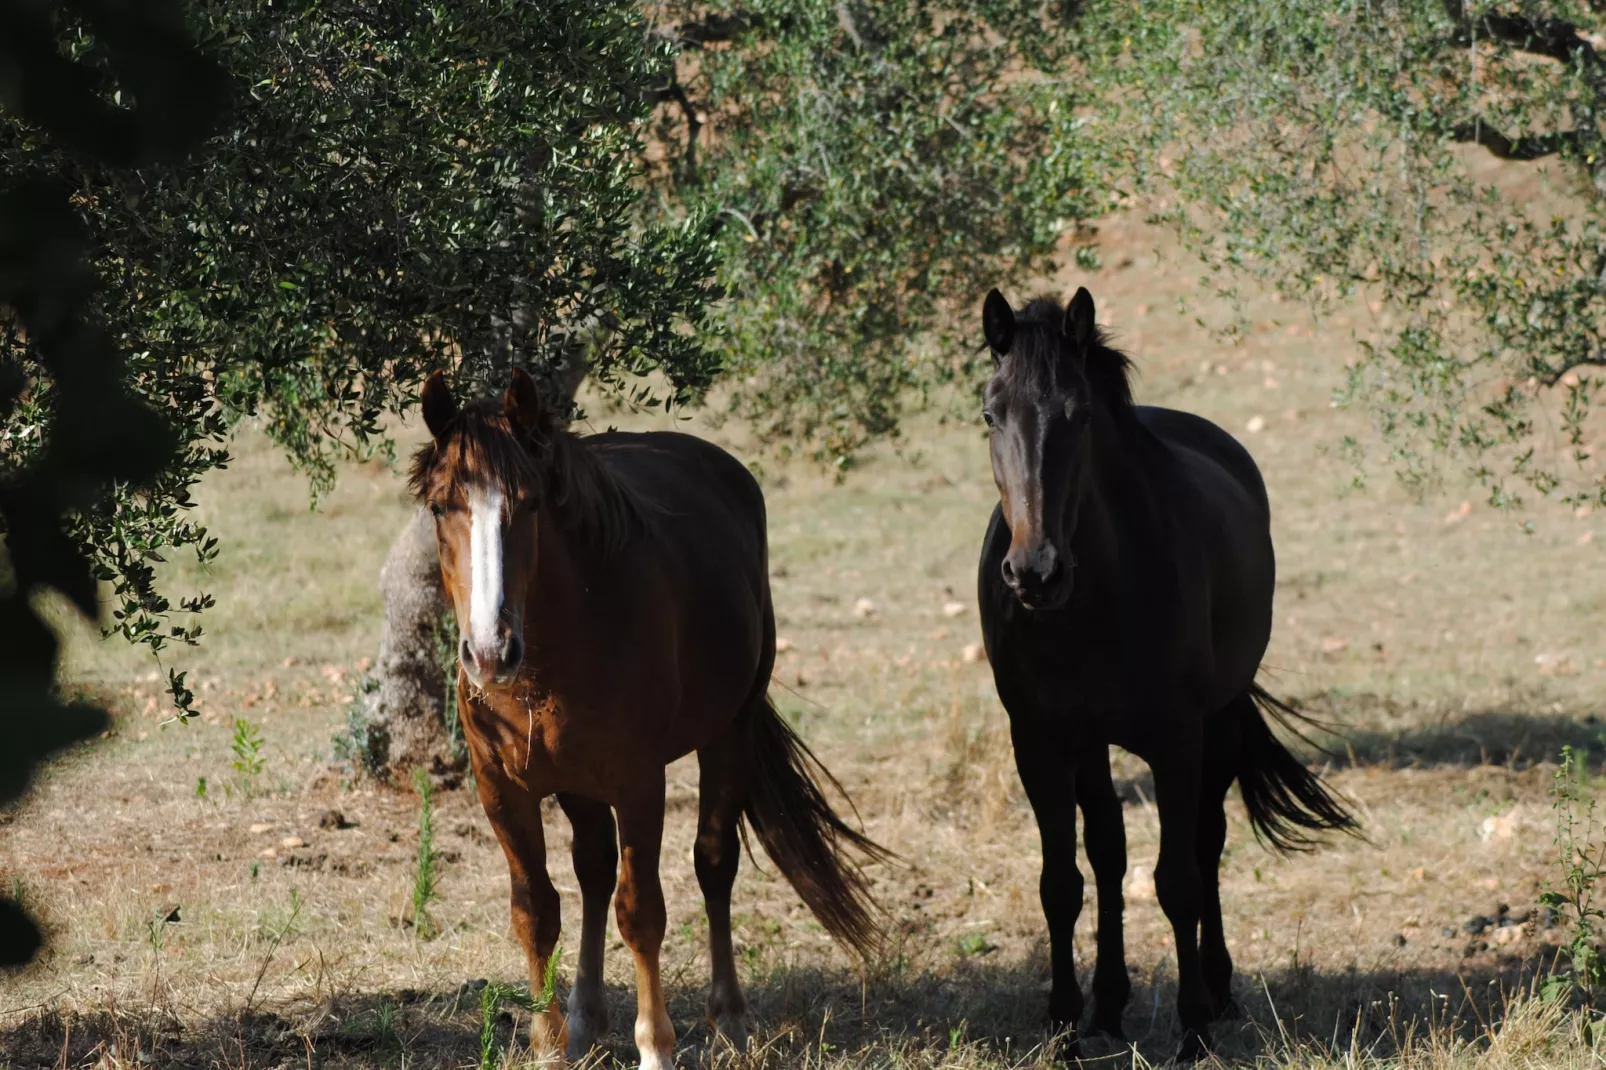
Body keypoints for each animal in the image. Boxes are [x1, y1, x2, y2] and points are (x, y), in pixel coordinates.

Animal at [414, 369, 886, 1066]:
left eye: (530, 504)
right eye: (441, 507)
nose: (491, 653)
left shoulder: (639, 782)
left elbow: (641, 911)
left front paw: (655, 1045)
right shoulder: (500, 787)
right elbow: (536, 910)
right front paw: (550, 1044)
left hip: (729, 732)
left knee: (713, 864)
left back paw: (729, 1016)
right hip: (578, 784)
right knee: (592, 869)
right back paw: (585, 1016)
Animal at [970, 285, 1361, 1060]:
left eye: (1079, 415)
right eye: (990, 414)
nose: (1034, 572)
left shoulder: (1178, 739)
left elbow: (1178, 879)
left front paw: (1193, 1032)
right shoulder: (1040, 742)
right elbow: (1063, 882)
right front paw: (1065, 1029)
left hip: (1220, 724)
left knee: (1206, 845)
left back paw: (1217, 989)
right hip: (1093, 746)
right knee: (1109, 856)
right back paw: (1110, 1006)